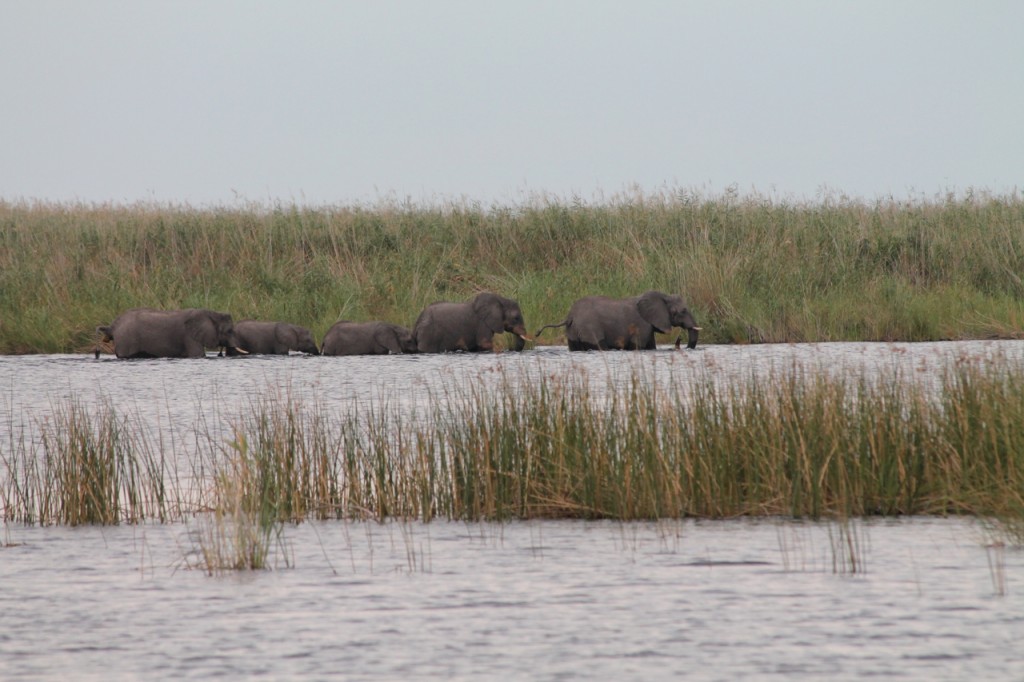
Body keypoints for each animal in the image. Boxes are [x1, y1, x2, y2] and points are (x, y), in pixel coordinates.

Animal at [95, 307, 243, 358]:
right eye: (229, 331)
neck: (211, 312)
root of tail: (113, 326)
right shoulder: (190, 337)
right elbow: (198, 354)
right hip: (126, 340)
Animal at [532, 288, 700, 348]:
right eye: (683, 311)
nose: (680, 340)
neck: (663, 295)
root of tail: (570, 316)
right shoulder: (641, 325)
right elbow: (639, 346)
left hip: (573, 331)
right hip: (589, 328)